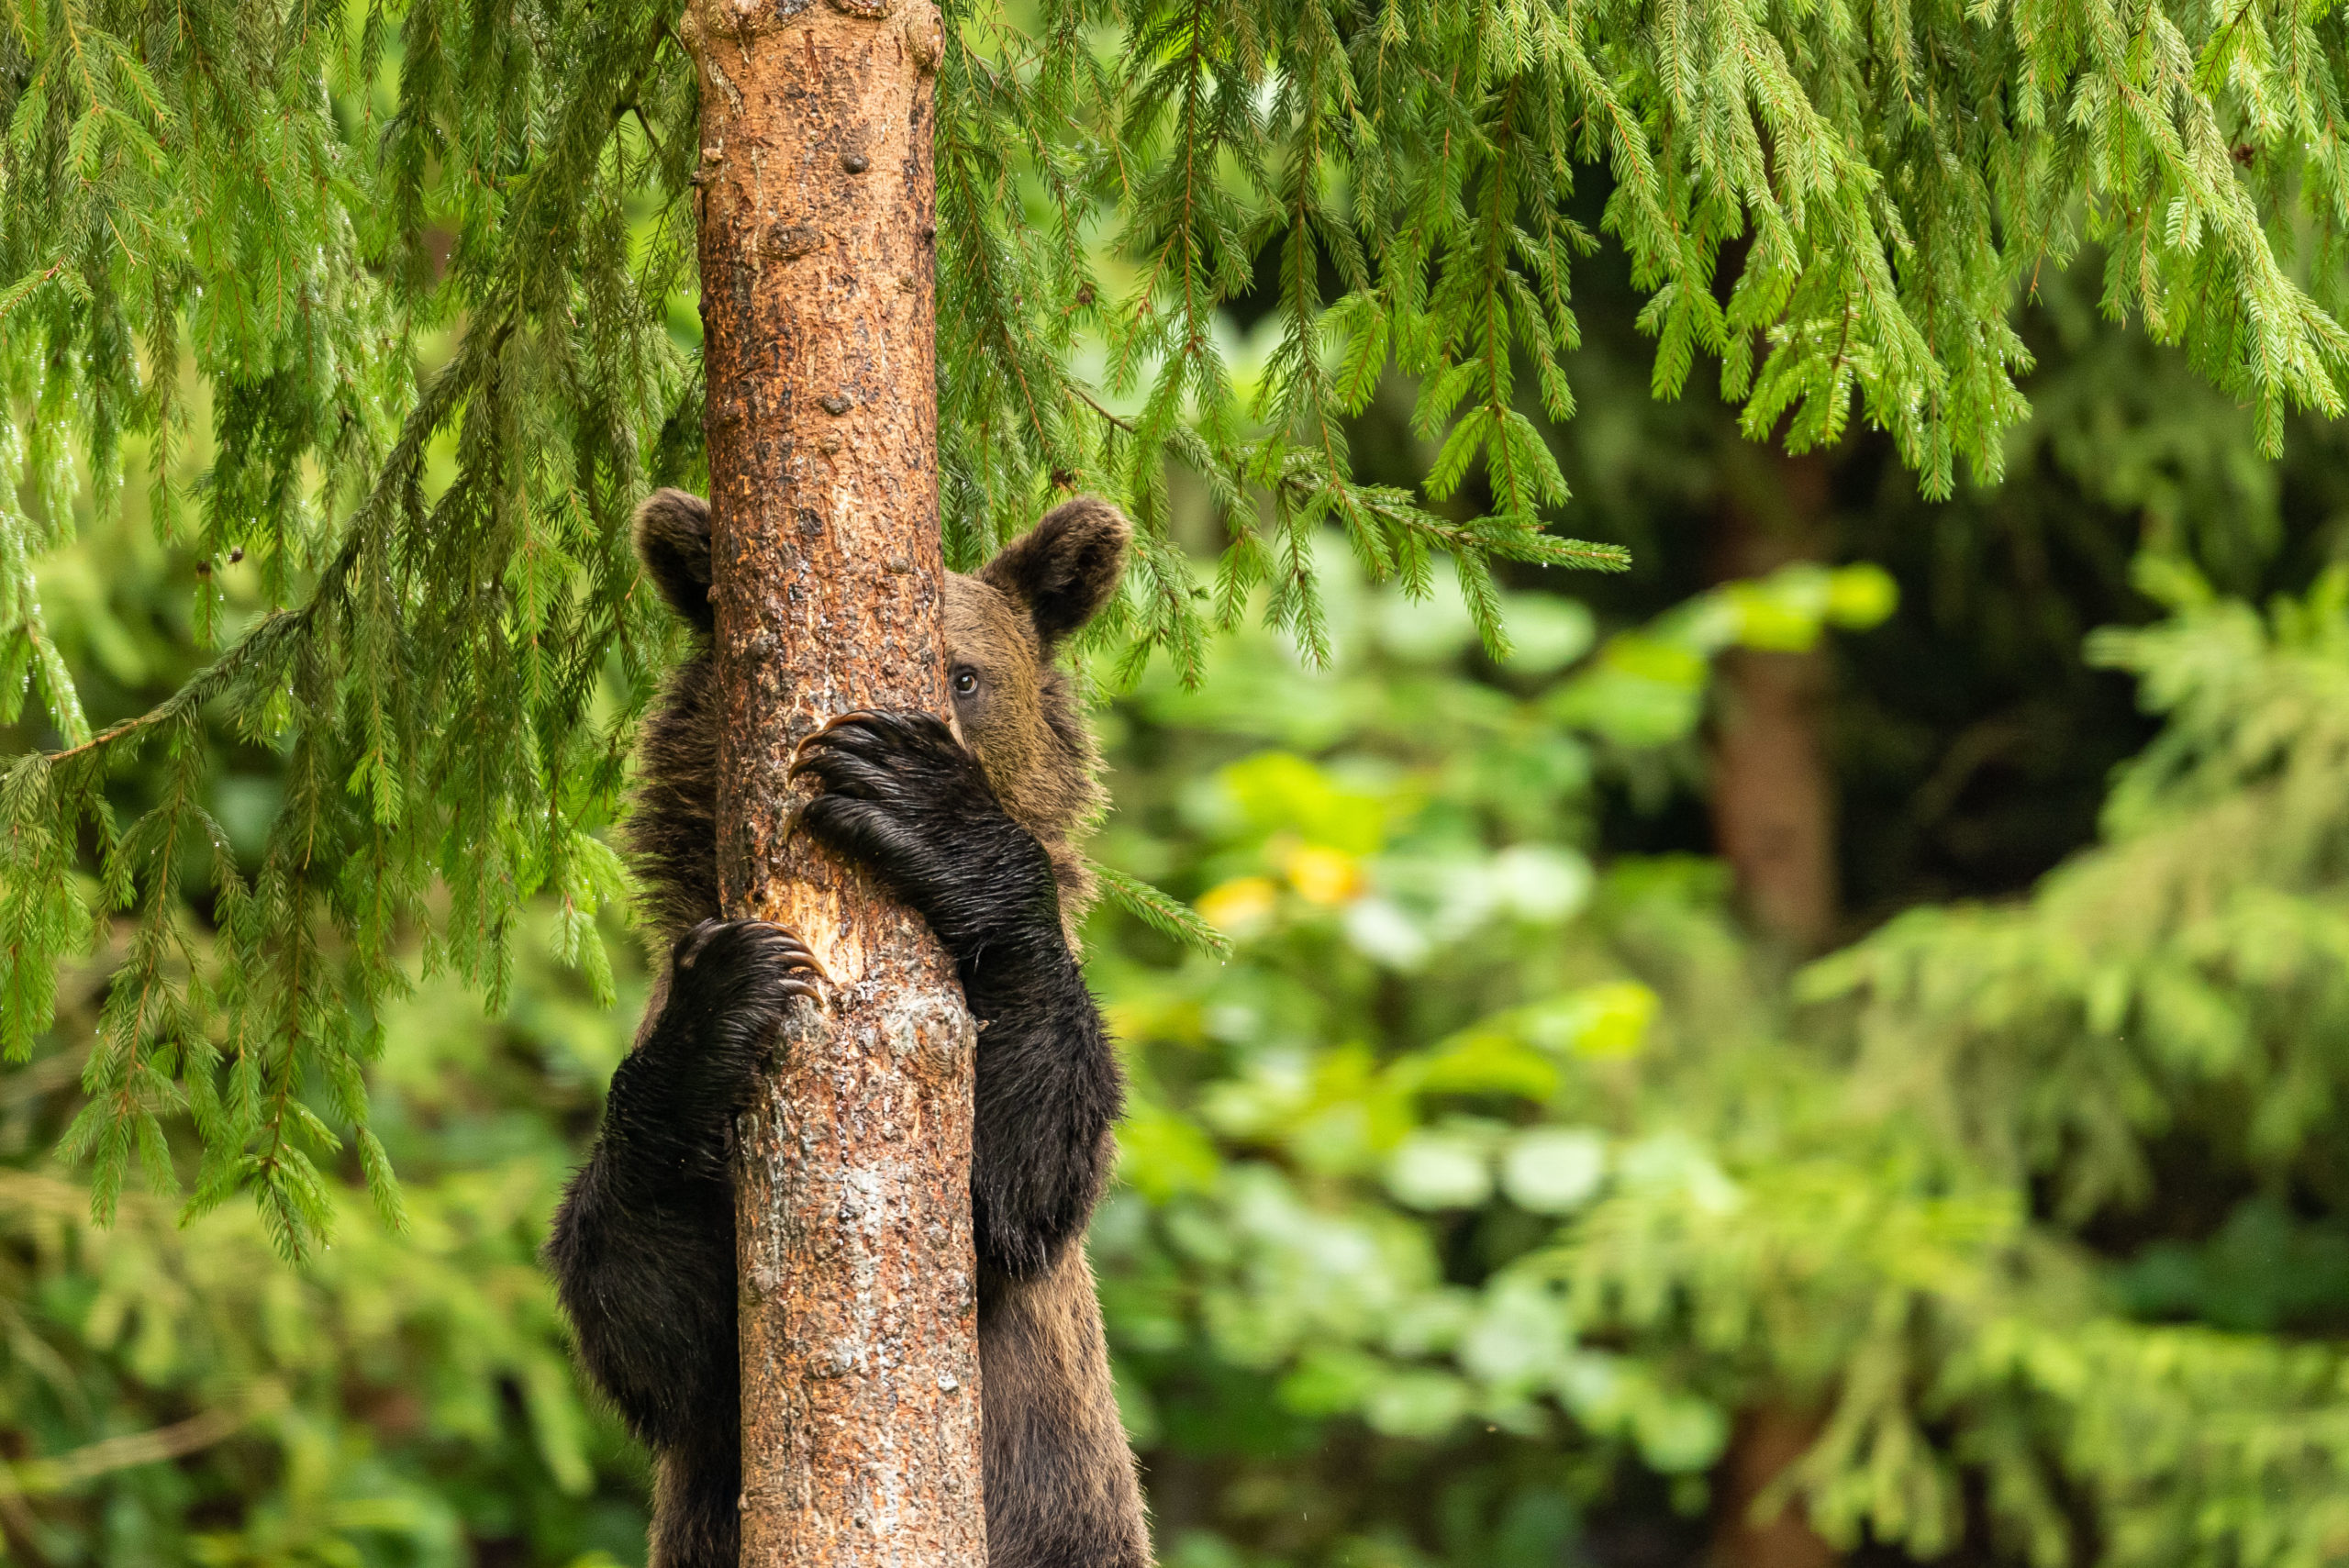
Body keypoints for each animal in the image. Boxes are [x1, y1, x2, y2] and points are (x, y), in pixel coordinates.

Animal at [545, 488, 1151, 1568]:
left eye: (967, 672)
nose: (923, 724)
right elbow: (652, 1315)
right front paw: (725, 998)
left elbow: (1017, 1177)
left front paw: (922, 800)